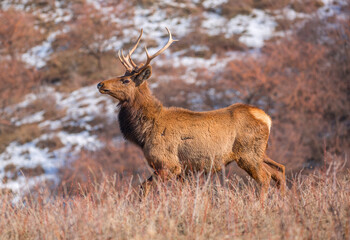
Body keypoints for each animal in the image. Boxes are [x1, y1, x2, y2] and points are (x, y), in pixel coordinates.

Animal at [97, 27, 286, 200]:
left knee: (265, 178)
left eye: (125, 80)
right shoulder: (181, 169)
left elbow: (145, 187)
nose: (100, 84)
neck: (143, 134)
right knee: (279, 170)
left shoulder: (169, 163)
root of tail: (266, 118)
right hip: (261, 152)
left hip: (248, 154)